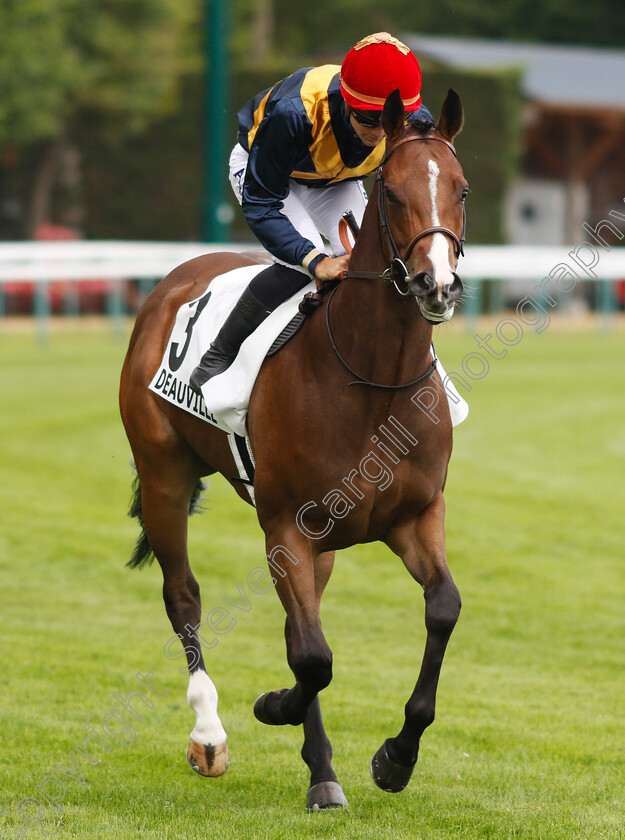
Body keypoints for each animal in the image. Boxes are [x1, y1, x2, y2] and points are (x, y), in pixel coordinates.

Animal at [118, 88, 468, 812]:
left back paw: (321, 772)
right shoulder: (286, 525)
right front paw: (272, 706)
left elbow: (441, 609)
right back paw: (210, 735)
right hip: (164, 473)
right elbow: (311, 658)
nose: (437, 285)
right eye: (393, 193)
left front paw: (395, 757)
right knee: (184, 596)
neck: (372, 380)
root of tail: (174, 280)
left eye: (462, 189)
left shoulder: (414, 516)